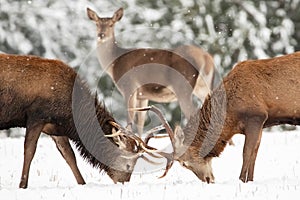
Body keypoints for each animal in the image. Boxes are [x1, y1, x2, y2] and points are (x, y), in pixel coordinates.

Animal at [0, 52, 161, 188]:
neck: (69, 113)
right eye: (129, 165)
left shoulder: (55, 127)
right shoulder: (36, 117)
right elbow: (29, 151)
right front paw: (22, 185)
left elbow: (69, 155)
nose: (124, 183)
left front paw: (82, 183)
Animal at [86, 7, 218, 136]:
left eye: (111, 24)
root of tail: (206, 58)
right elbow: (141, 122)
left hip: (182, 86)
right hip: (203, 87)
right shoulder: (142, 96)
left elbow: (130, 120)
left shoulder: (129, 87)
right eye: (97, 24)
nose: (101, 35)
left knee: (192, 113)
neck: (114, 63)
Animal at [142, 51, 300, 183]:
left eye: (184, 163)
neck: (230, 115)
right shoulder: (261, 123)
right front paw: (250, 180)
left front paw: (241, 180)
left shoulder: (256, 116)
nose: (207, 180)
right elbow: (255, 152)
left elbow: (247, 152)